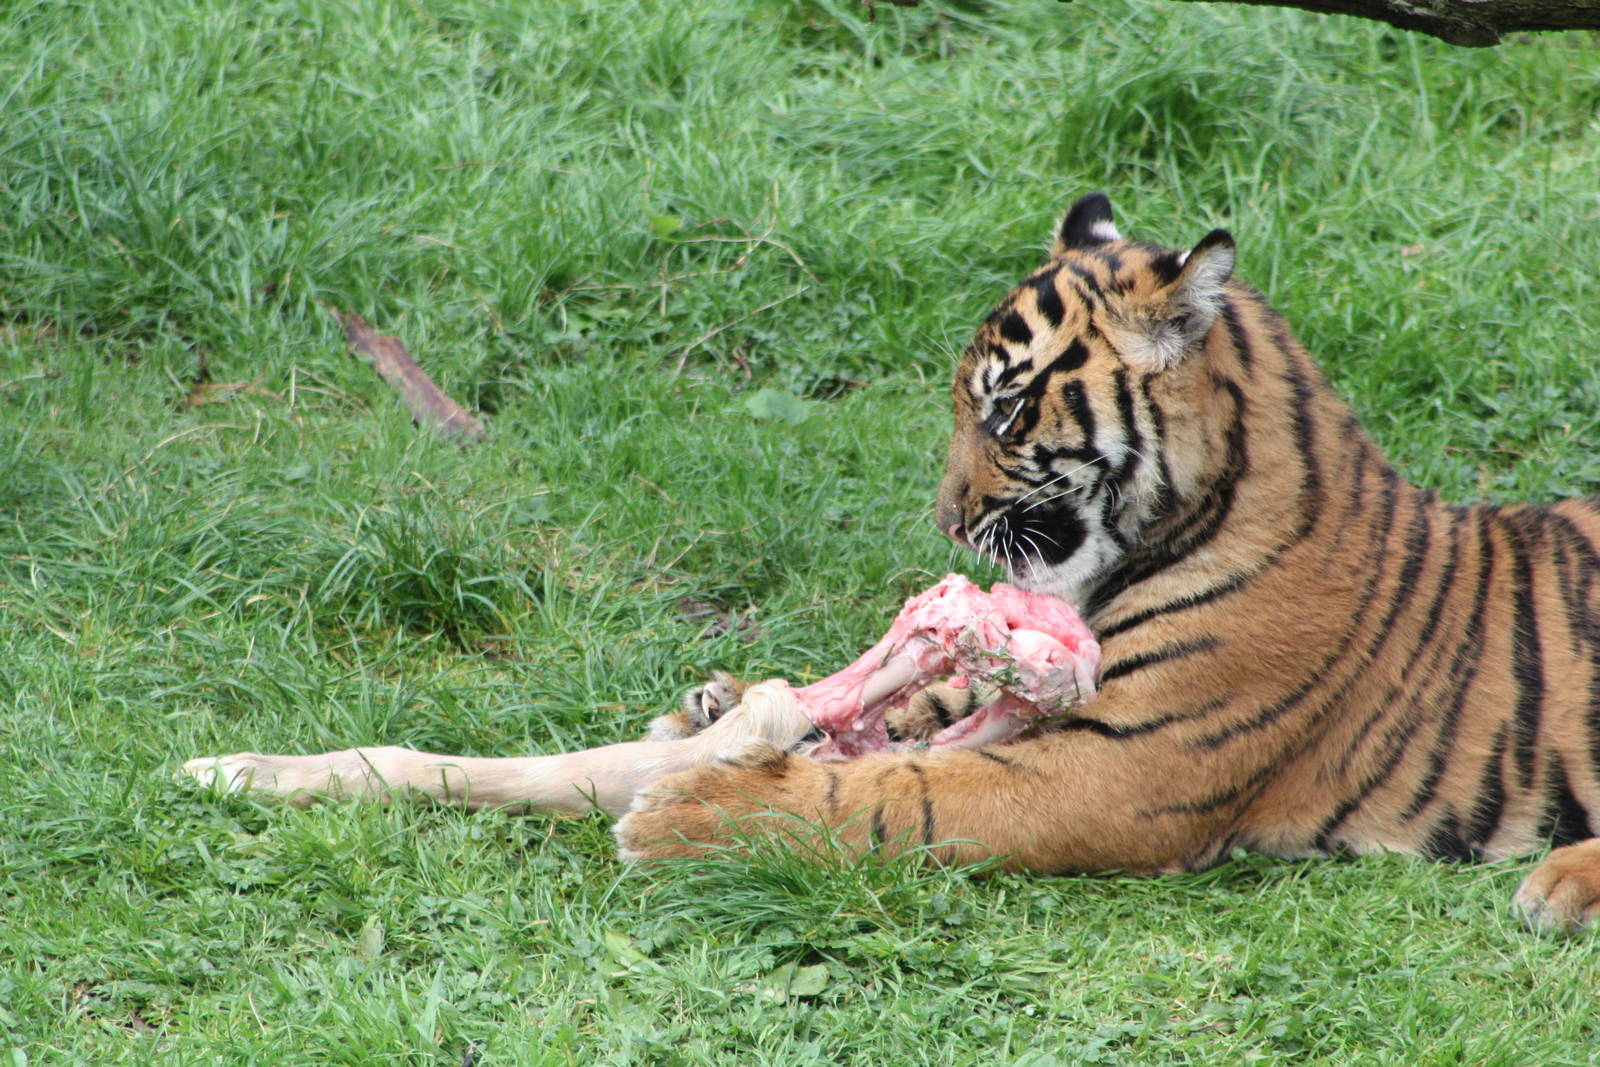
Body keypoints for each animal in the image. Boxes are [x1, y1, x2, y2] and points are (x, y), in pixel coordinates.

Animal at [614, 192, 1600, 934]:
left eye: (1006, 410)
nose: (945, 520)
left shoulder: (1123, 764)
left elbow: (905, 792)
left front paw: (686, 811)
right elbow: (935, 703)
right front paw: (727, 706)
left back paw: (1556, 888)